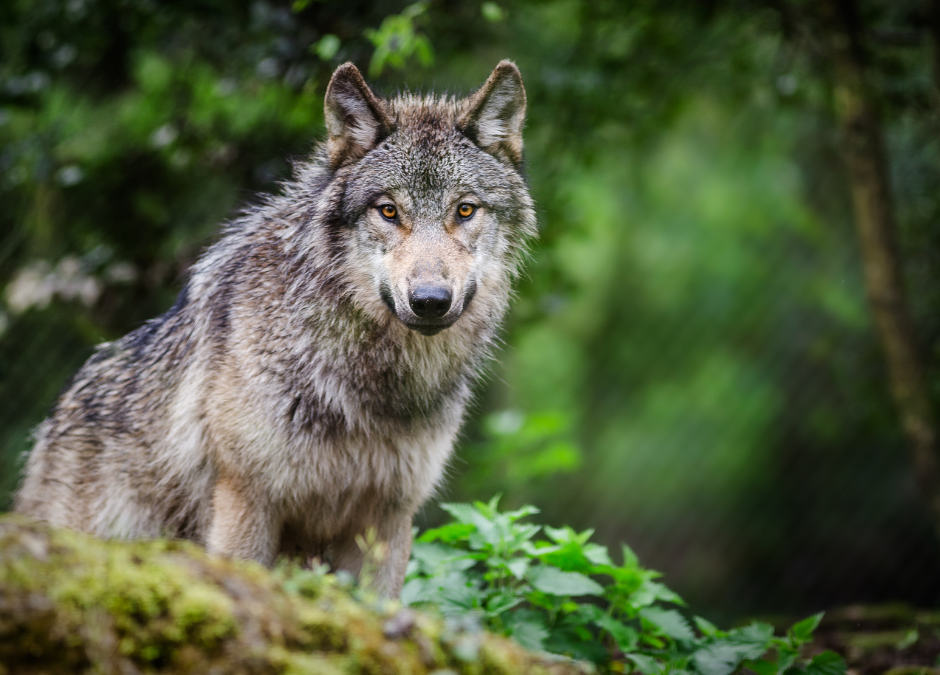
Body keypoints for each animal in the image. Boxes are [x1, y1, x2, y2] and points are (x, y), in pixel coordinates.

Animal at [14, 60, 535, 597]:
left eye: (465, 210)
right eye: (388, 211)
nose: (430, 301)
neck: (368, 386)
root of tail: (55, 419)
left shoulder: (387, 520)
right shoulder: (246, 501)